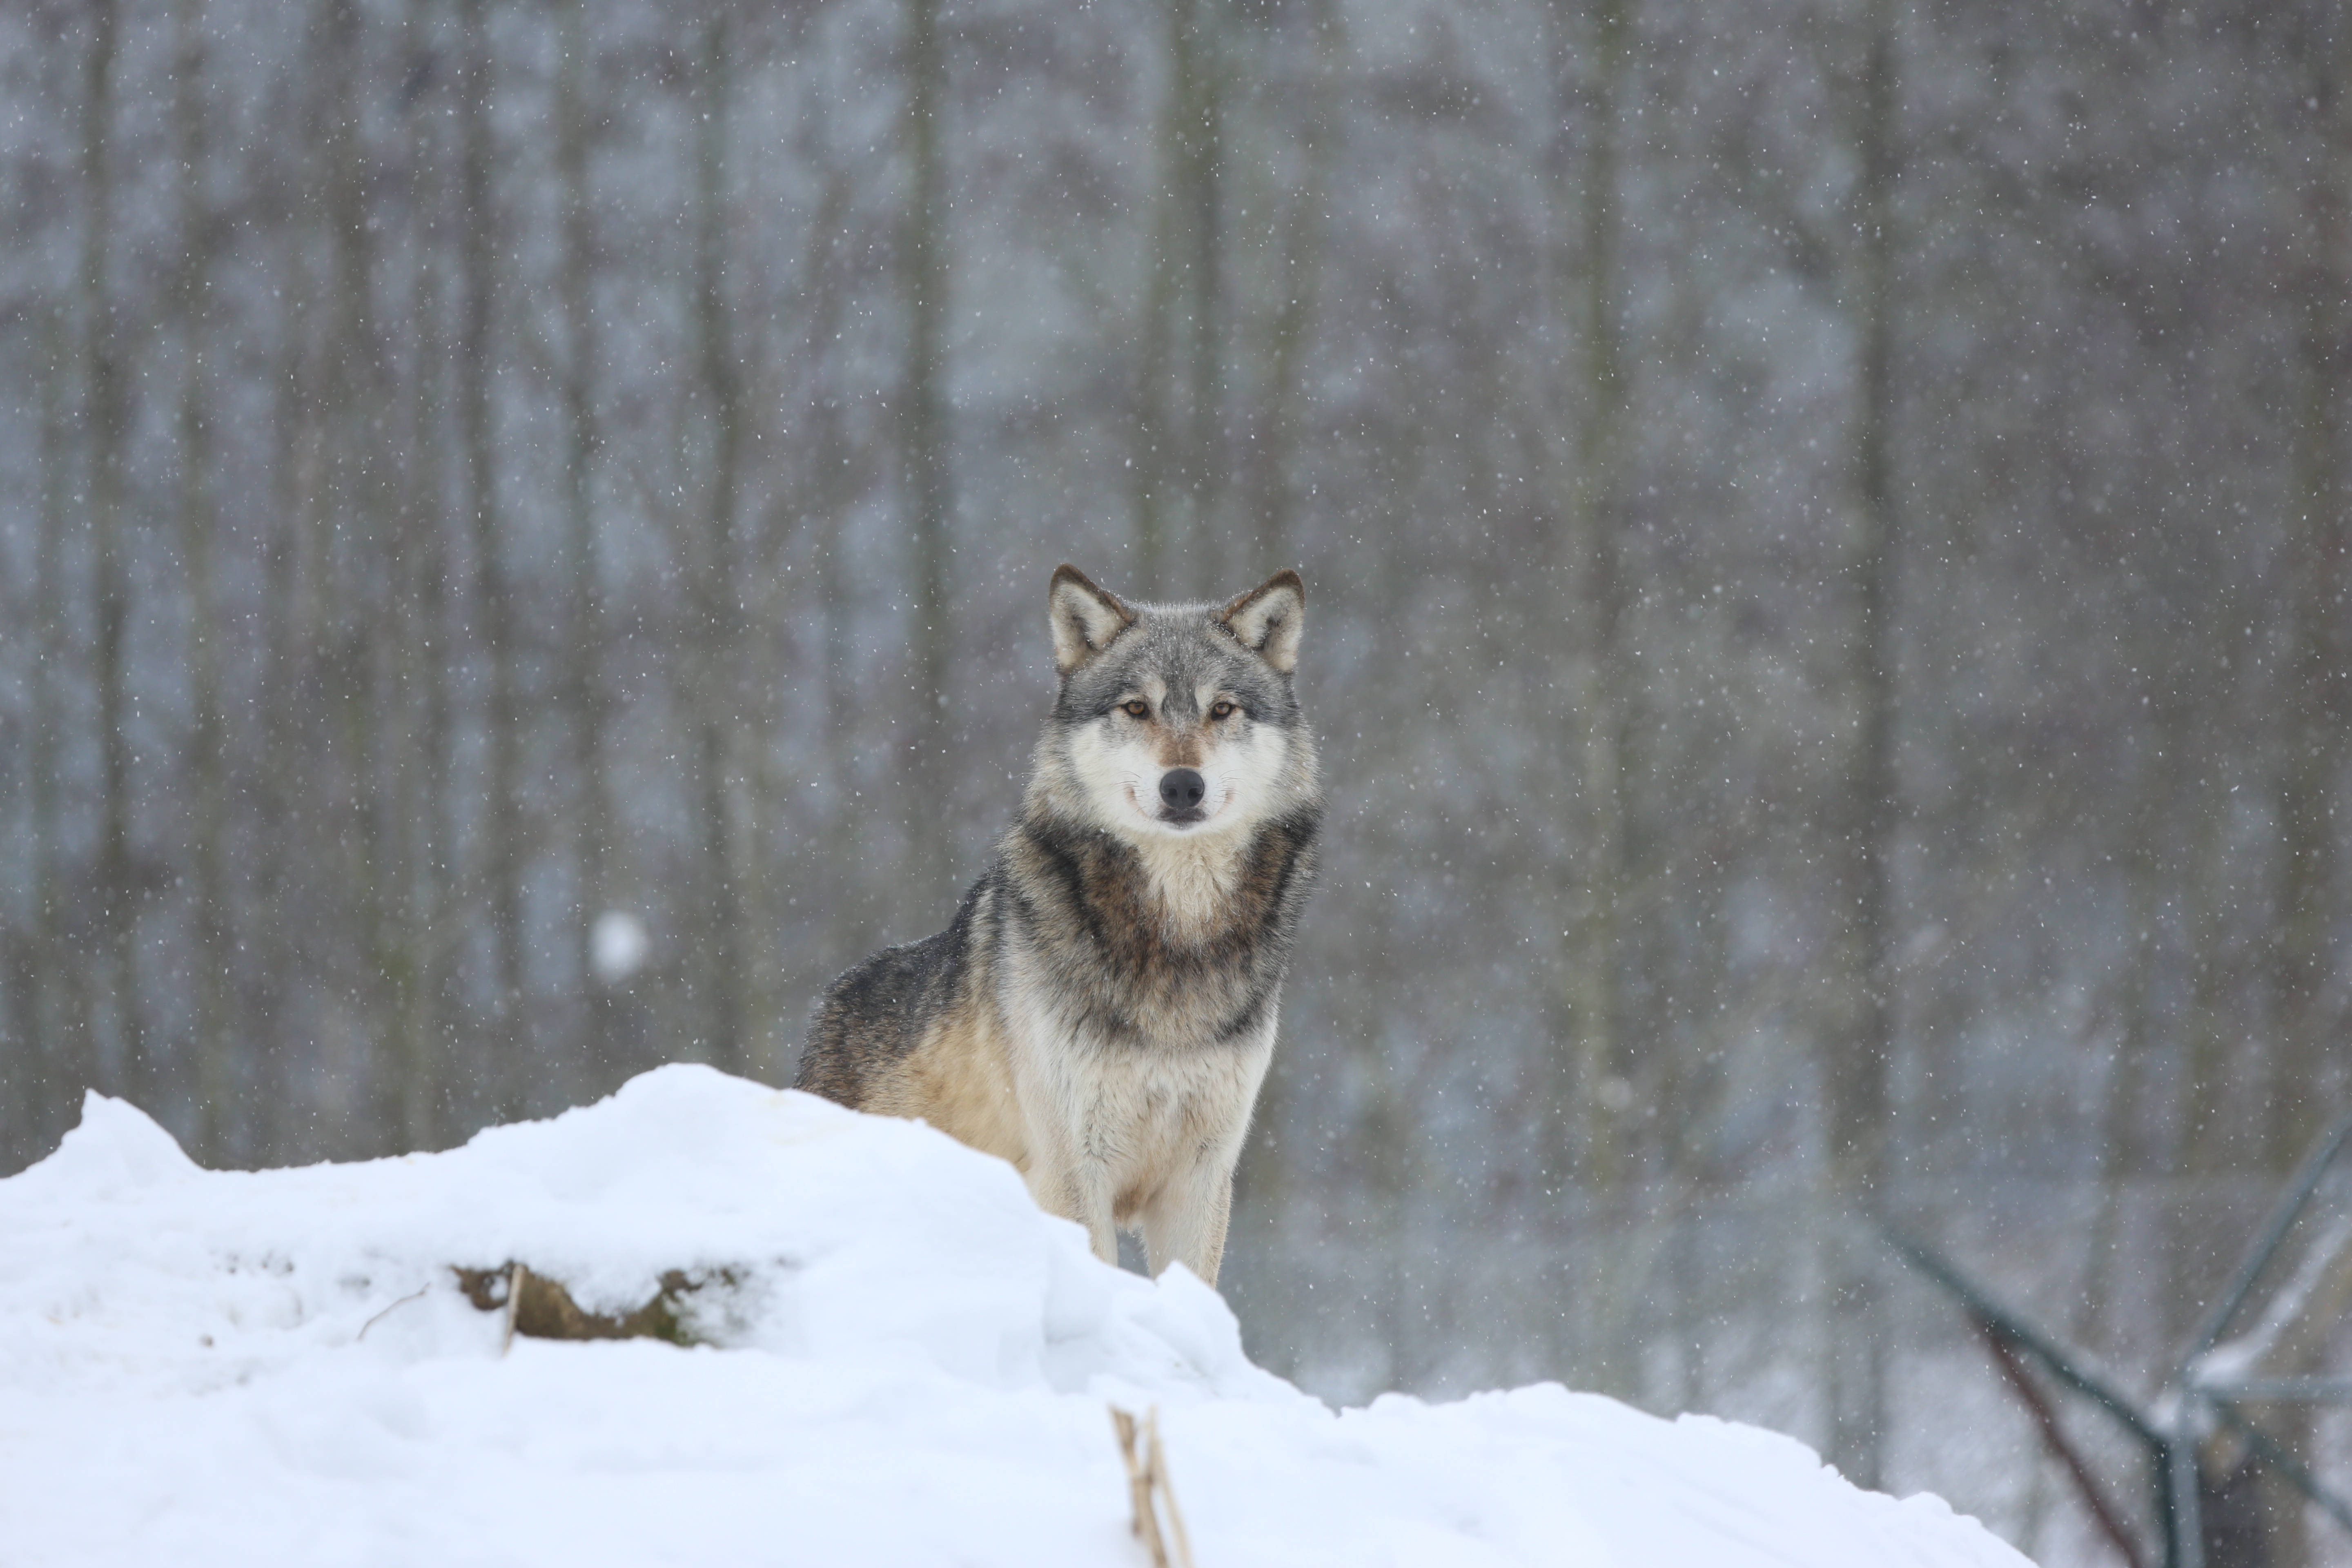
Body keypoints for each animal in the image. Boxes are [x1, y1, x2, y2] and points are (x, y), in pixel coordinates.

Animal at [793, 565, 1322, 1286]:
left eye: (1222, 710)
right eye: (1137, 708)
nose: (1183, 786)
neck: (1175, 938)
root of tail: (830, 1007)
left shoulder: (1201, 1178)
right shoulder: (1073, 1169)